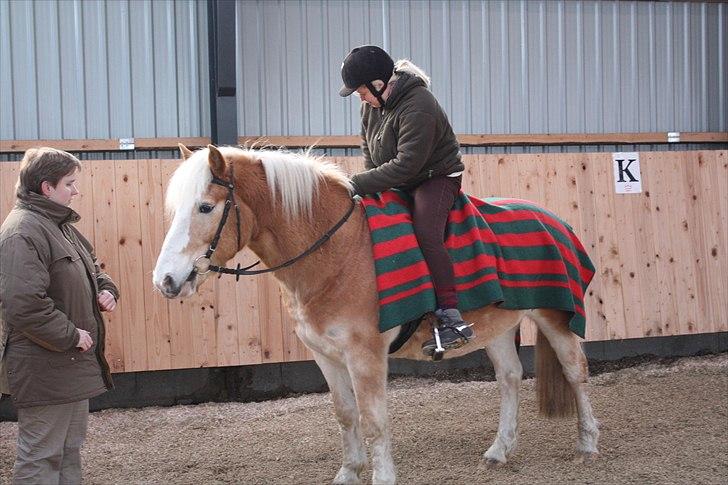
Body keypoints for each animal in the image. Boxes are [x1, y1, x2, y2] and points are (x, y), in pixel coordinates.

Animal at [152, 145, 596, 484]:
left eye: (205, 207)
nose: (165, 281)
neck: (338, 252)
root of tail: (554, 220)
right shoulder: (326, 355)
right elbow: (345, 414)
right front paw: (348, 473)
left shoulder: (364, 355)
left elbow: (373, 420)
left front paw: (382, 477)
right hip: (497, 327)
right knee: (509, 377)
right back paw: (499, 450)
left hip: (553, 316)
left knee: (576, 370)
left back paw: (588, 443)